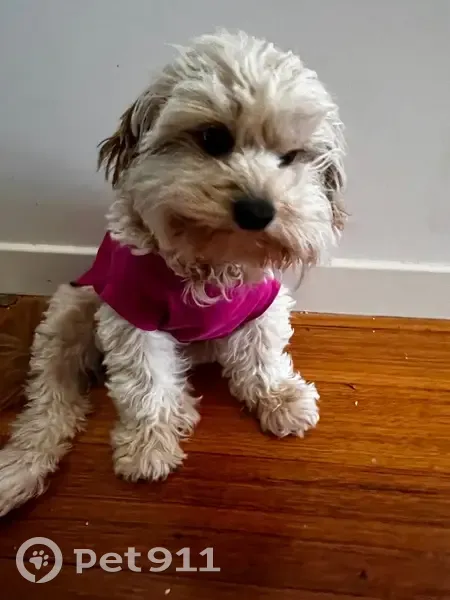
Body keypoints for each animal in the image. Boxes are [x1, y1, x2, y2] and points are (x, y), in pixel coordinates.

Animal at [0, 30, 346, 517]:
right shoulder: (131, 314)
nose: (258, 210)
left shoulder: (263, 304)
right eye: (213, 138)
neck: (211, 262)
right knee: (50, 402)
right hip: (71, 310)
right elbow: (145, 383)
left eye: (291, 156)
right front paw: (148, 445)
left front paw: (278, 395)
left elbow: (262, 355)